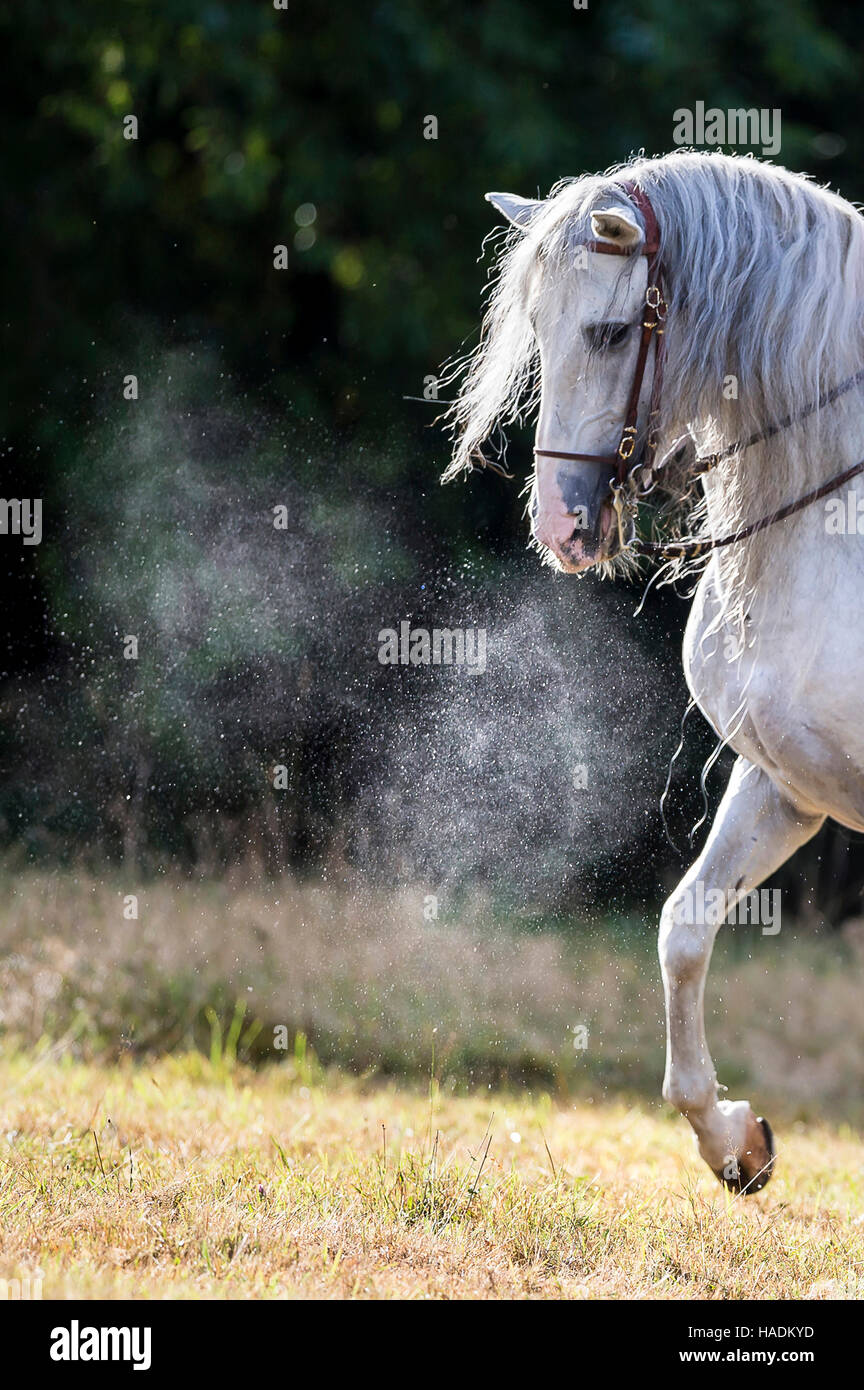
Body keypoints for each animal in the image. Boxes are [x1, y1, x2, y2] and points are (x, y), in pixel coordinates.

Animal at [444, 154, 864, 1195]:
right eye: (536, 327)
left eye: (605, 331)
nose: (559, 526)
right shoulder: (785, 783)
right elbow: (683, 928)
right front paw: (731, 1139)